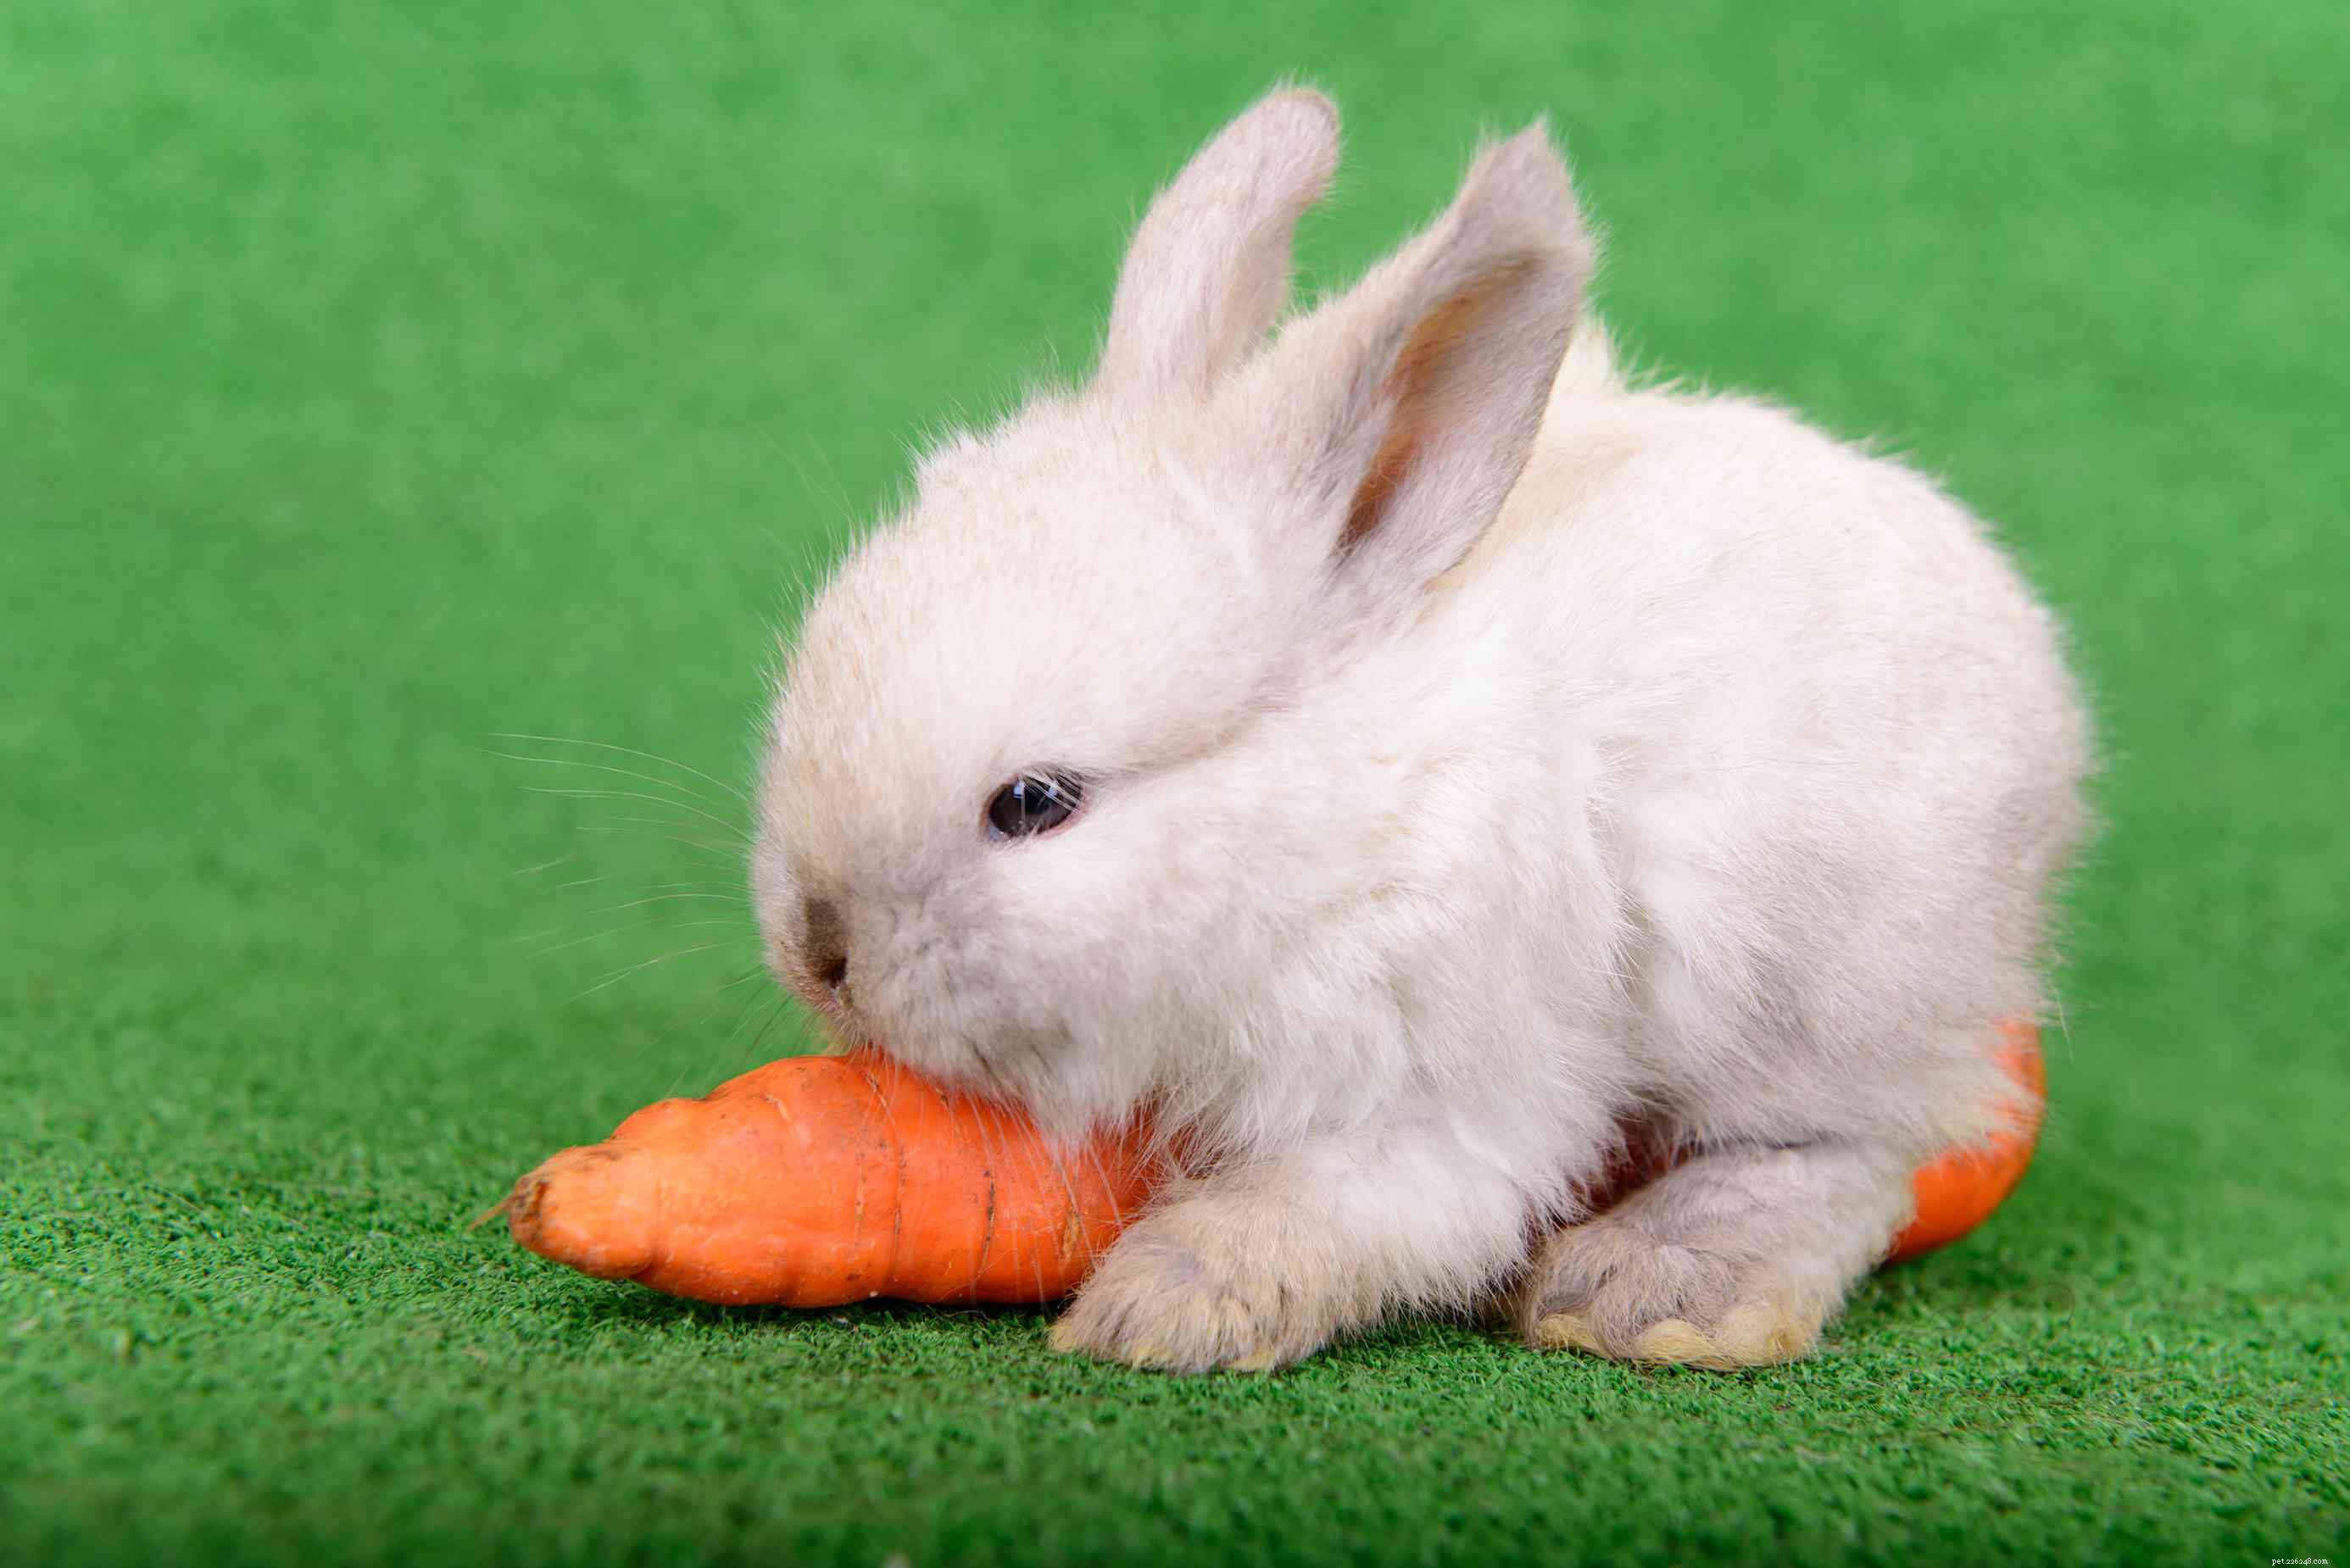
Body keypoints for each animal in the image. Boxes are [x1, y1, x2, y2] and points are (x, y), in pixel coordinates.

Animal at [749, 86, 2092, 1373]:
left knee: (1853, 1152)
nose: (821, 950)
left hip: (1820, 991)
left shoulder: (1444, 1084)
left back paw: (1656, 1291)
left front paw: (1161, 1311)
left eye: (1036, 803)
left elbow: (1352, 1205)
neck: (1334, 818)